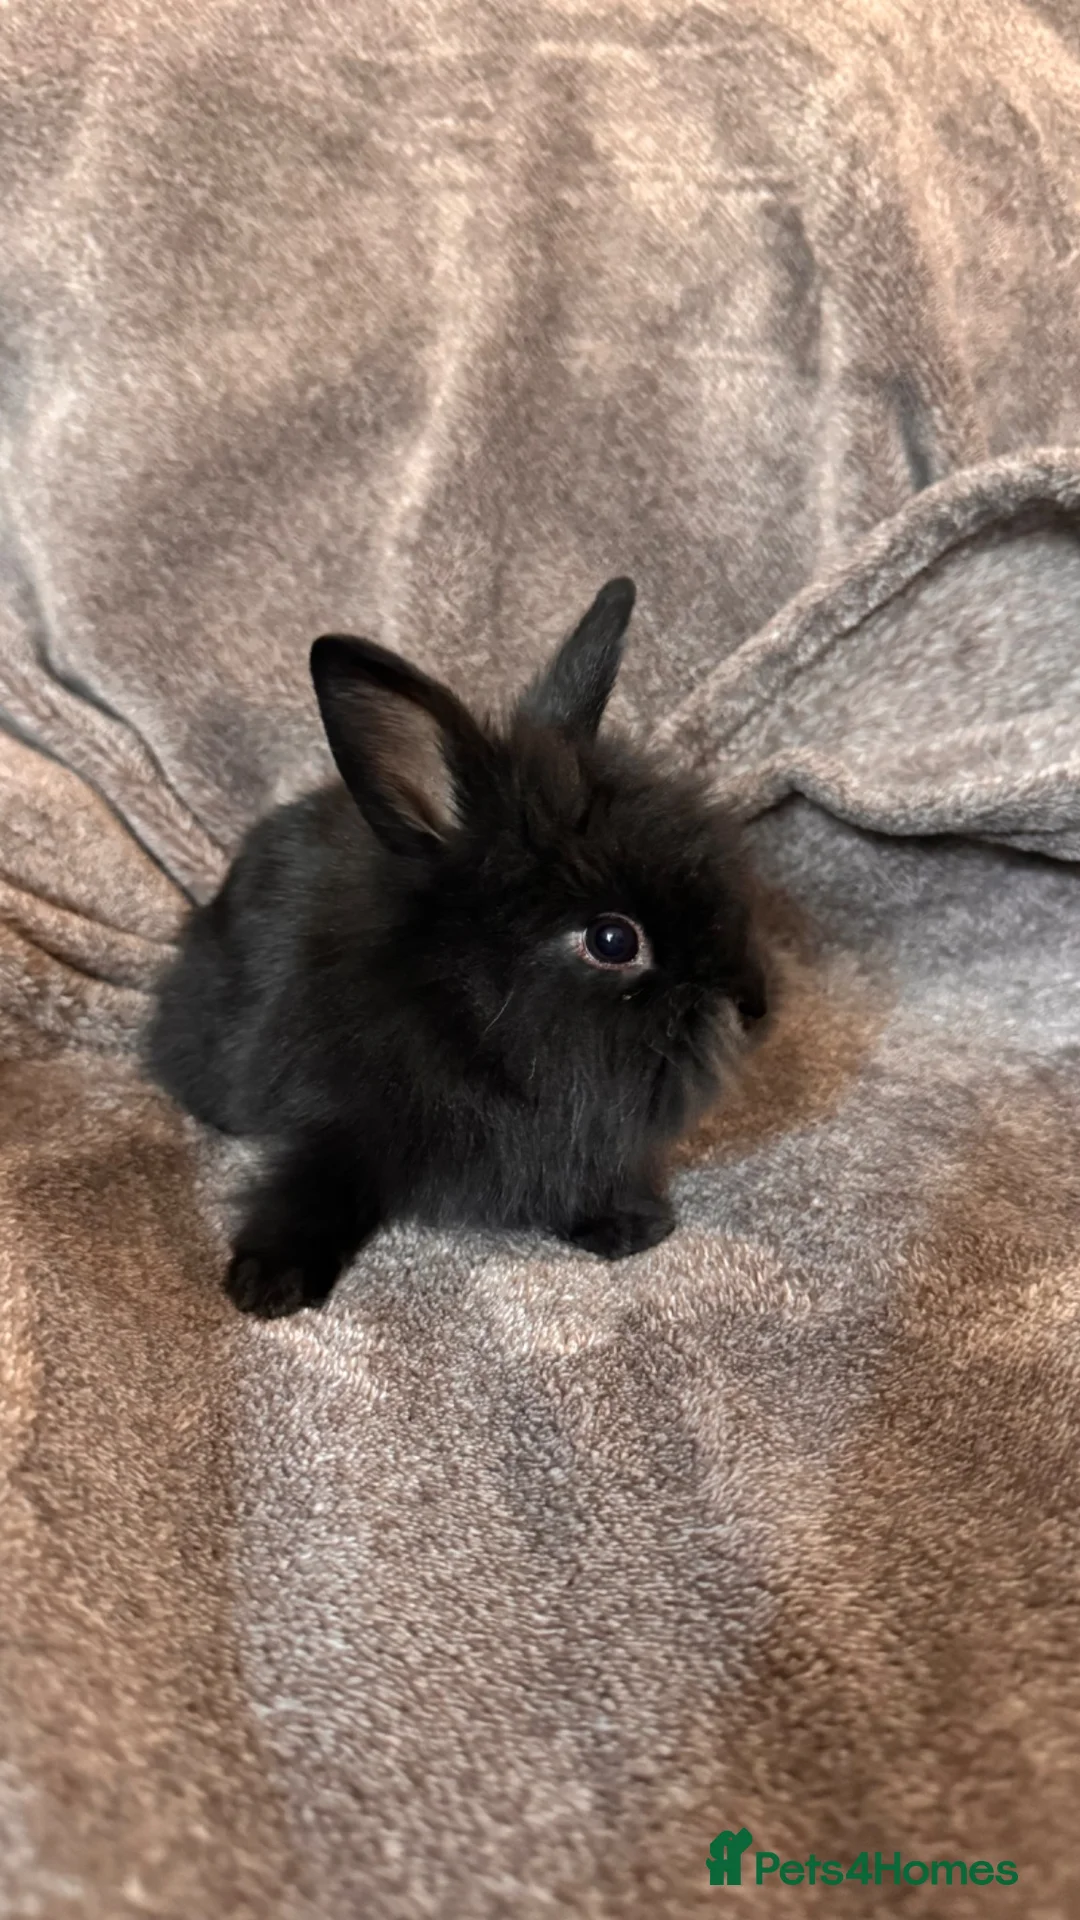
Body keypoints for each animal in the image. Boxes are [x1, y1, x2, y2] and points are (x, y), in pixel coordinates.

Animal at [146, 578, 767, 1318]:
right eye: (613, 940)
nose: (756, 1009)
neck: (472, 1019)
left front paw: (630, 1226)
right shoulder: (333, 1124)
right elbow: (311, 1189)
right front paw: (269, 1282)